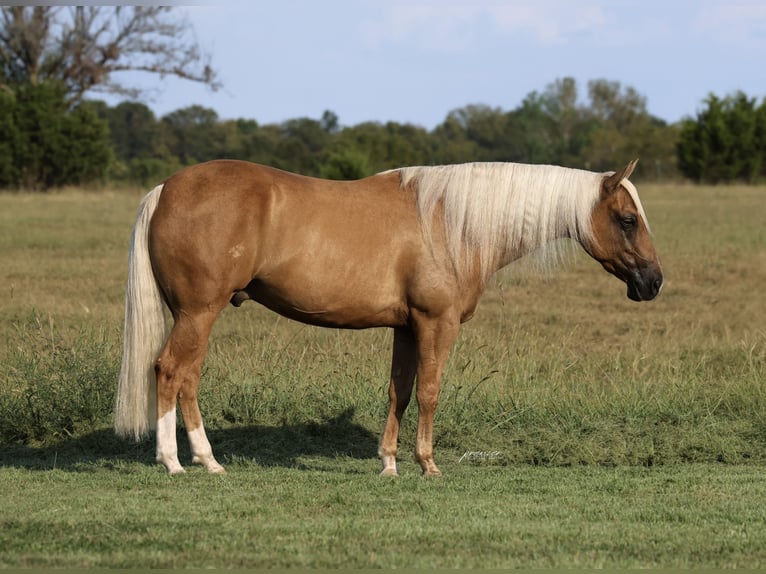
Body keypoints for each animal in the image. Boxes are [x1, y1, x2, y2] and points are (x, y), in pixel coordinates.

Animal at [115, 159, 663, 476]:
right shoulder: (436, 324)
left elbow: (399, 390)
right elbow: (429, 391)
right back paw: (180, 463)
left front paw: (390, 463)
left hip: (193, 315)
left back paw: (202, 460)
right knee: (172, 371)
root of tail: (166, 188)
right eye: (627, 220)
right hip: (198, 313)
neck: (452, 221)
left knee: (185, 378)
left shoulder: (406, 327)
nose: (653, 283)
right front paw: (428, 464)